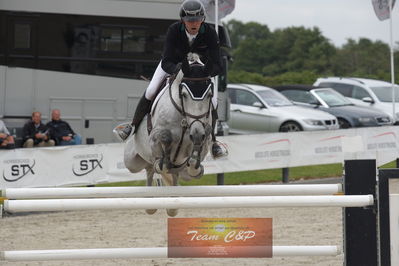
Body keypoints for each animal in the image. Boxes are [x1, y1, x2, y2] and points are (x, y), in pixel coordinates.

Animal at [124, 53, 214, 216]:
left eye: (210, 95)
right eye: (184, 95)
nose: (197, 133)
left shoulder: (203, 139)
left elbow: (194, 164)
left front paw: (195, 165)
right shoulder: (155, 137)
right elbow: (162, 148)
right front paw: (164, 152)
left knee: (174, 175)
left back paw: (169, 203)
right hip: (131, 162)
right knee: (150, 169)